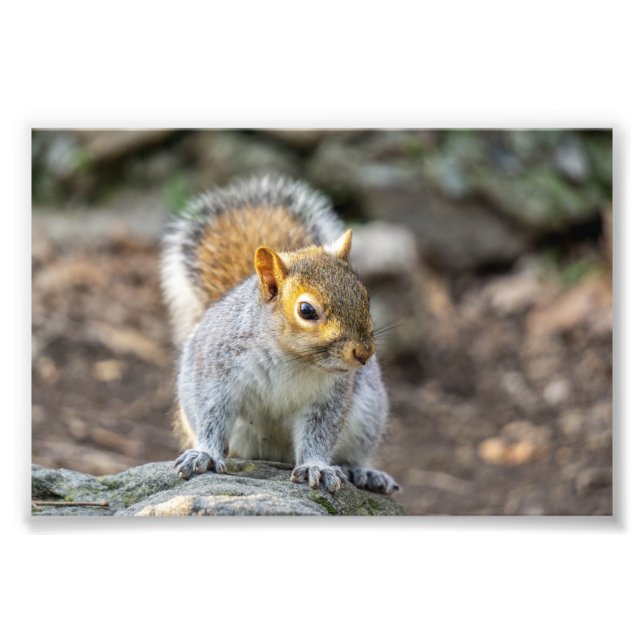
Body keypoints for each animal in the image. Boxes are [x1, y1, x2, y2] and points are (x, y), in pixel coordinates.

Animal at [160, 175, 399, 495]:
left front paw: (316, 467)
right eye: (306, 311)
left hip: (369, 415)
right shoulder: (215, 371)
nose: (364, 353)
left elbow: (319, 434)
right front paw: (206, 454)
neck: (293, 357)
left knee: (354, 453)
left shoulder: (329, 398)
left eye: (365, 297)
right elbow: (211, 415)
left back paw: (365, 472)